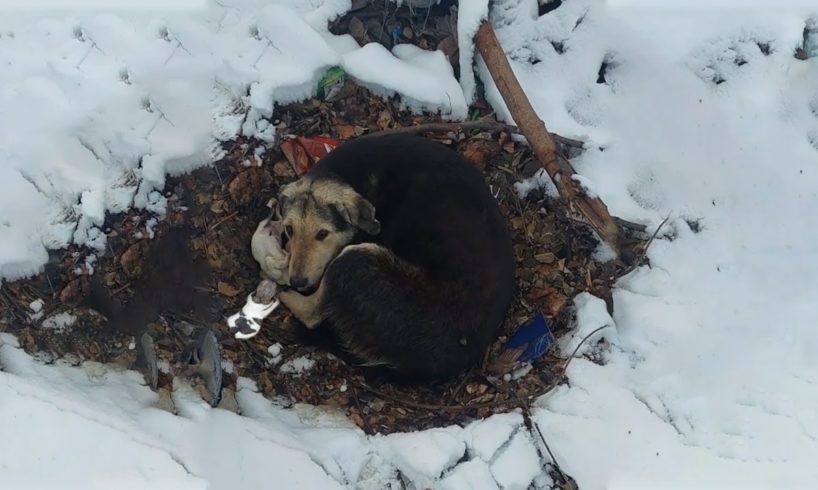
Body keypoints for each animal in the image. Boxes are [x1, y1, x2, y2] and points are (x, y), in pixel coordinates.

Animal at [252, 134, 512, 378]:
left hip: (357, 260)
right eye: (289, 229)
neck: (345, 174)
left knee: (312, 312)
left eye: (322, 233)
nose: (298, 281)